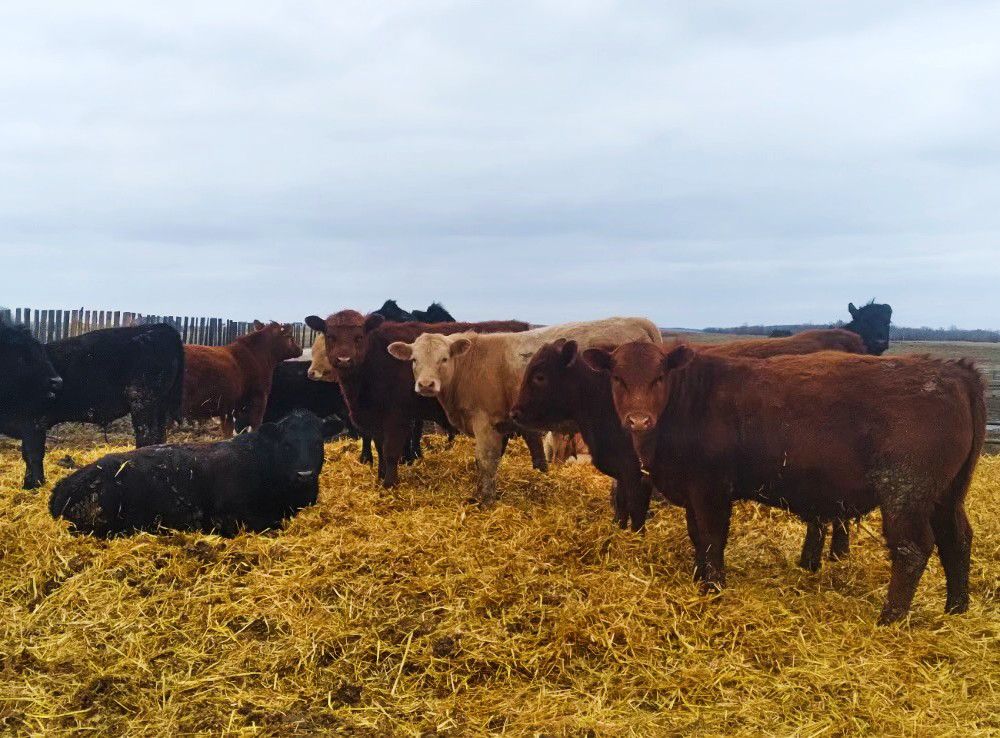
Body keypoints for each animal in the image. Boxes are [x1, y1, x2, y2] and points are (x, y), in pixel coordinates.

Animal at [0, 323, 184, 490]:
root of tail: (161, 327)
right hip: (159, 406)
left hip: (143, 402)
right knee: (159, 437)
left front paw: (32, 485)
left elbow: (32, 454)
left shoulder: (35, 422)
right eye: (21, 356)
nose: (57, 381)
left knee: (147, 437)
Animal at [305, 311, 532, 488]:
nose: (344, 359)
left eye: (359, 337)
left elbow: (390, 451)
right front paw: (380, 476)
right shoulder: (375, 418)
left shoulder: (396, 417)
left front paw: (389, 484)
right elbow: (379, 448)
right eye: (331, 336)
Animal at [387, 317, 662, 504]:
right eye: (414, 360)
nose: (426, 385)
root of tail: (637, 320)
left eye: (444, 358)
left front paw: (485, 501)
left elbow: (485, 460)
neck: (470, 366)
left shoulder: (484, 421)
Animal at [584, 342, 985, 624]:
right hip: (946, 493)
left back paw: (890, 619)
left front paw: (713, 586)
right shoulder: (692, 489)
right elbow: (697, 536)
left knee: (913, 549)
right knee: (956, 539)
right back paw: (956, 609)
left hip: (905, 492)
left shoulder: (711, 487)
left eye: (659, 377)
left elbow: (712, 537)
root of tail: (953, 371)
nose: (638, 420)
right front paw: (699, 577)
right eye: (617, 378)